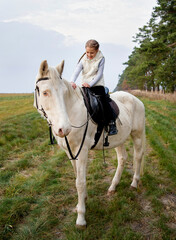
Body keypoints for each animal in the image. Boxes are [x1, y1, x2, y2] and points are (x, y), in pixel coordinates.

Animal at [33, 60, 145, 229]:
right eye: (45, 92)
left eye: (64, 92)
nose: (64, 129)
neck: (72, 111)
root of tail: (136, 99)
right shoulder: (70, 152)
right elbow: (77, 177)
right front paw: (82, 202)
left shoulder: (82, 150)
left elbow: (80, 182)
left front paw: (81, 218)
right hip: (119, 139)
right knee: (122, 159)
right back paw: (113, 186)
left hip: (137, 135)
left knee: (137, 157)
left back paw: (134, 183)